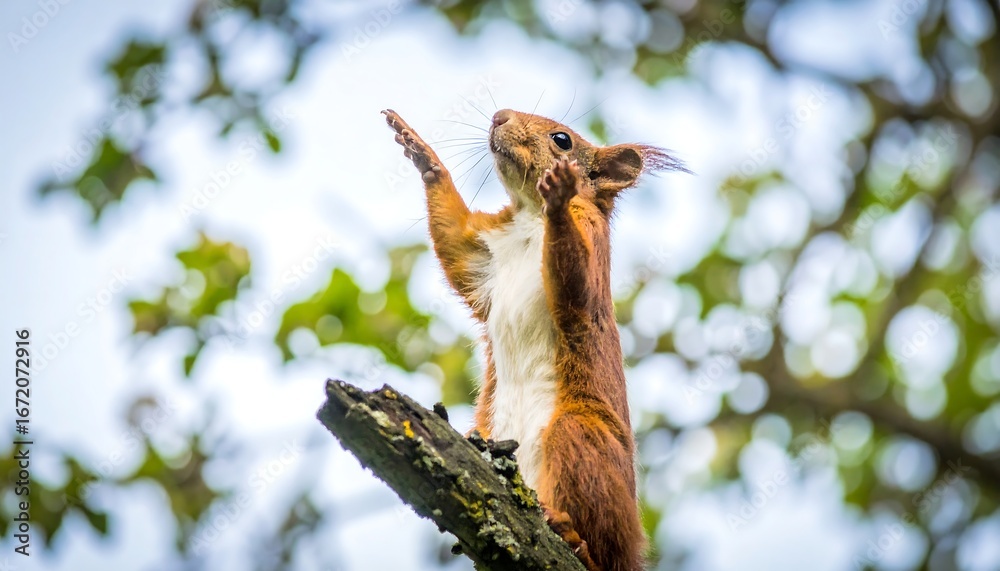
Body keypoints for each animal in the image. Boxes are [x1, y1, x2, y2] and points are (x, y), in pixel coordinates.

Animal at [384, 107, 686, 571]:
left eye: (562, 139)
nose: (499, 116)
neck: (529, 218)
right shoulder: (485, 255)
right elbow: (456, 245)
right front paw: (422, 152)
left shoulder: (591, 245)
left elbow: (575, 283)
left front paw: (559, 198)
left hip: (580, 433)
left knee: (601, 544)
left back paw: (574, 538)